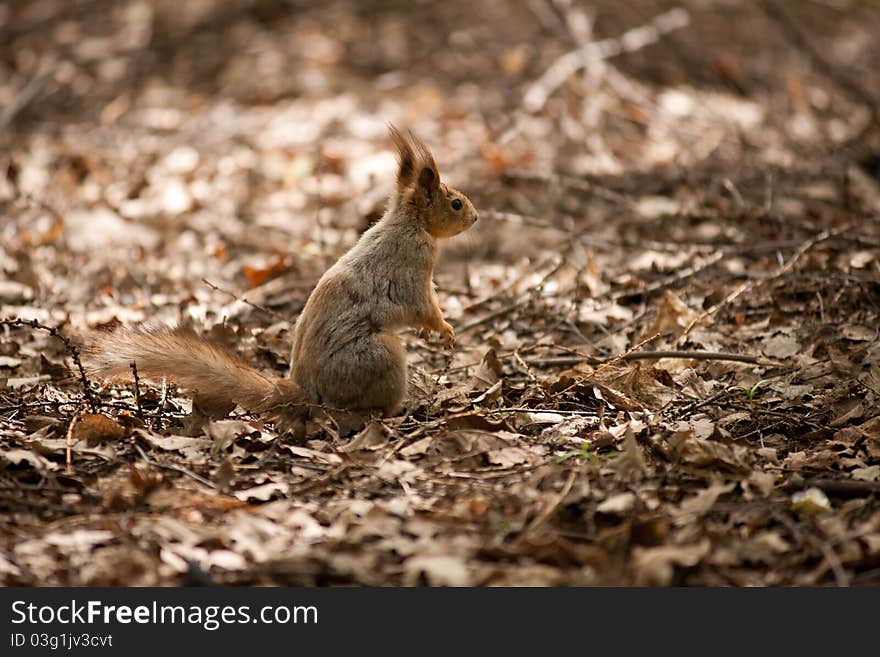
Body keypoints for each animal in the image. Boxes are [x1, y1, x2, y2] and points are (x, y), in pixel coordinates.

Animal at [82, 127, 478, 430]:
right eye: (455, 203)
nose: (476, 218)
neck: (409, 223)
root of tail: (309, 393)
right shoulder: (412, 268)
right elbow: (423, 306)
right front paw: (445, 330)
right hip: (381, 357)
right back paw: (398, 411)